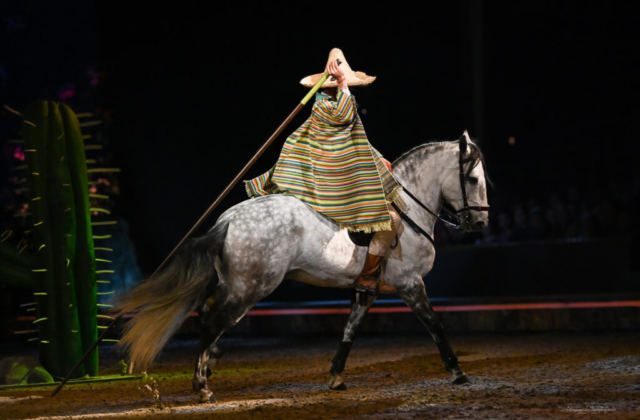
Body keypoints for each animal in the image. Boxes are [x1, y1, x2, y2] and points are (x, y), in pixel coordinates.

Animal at [115, 131, 492, 404]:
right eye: (473, 179)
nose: (480, 223)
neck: (408, 209)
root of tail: (228, 219)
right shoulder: (411, 284)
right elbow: (435, 325)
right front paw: (457, 372)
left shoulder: (366, 289)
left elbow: (350, 330)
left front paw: (336, 376)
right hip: (252, 288)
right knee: (212, 324)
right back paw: (202, 386)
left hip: (233, 284)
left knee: (207, 316)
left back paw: (210, 365)